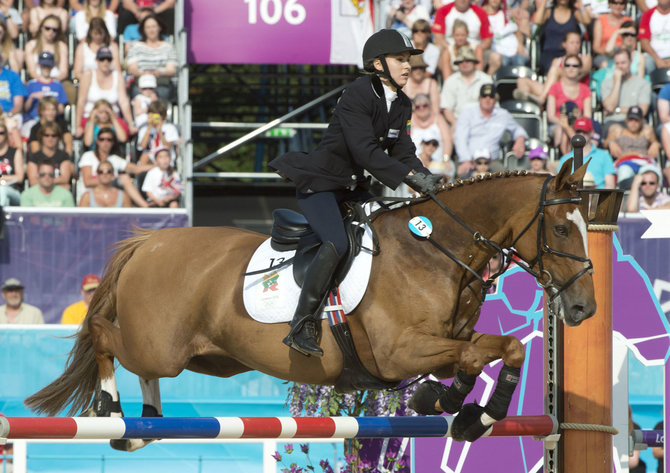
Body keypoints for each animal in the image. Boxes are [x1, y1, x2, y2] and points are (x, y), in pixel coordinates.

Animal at [25, 159, 600, 450]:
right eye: (561, 228)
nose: (583, 310)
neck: (436, 250)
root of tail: (151, 242)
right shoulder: (398, 351)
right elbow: (483, 352)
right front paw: (454, 406)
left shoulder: (444, 342)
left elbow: (498, 349)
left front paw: (460, 410)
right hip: (159, 344)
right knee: (103, 333)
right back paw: (110, 408)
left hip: (208, 358)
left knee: (142, 368)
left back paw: (145, 422)